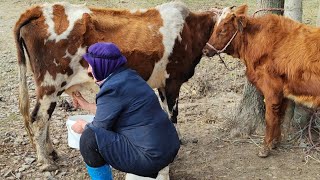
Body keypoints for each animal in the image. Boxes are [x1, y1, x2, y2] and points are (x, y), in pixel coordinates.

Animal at [13, 1, 218, 170]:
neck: (190, 29)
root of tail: (41, 8)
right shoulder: (173, 81)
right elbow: (173, 113)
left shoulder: (162, 83)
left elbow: (165, 112)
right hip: (51, 84)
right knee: (39, 118)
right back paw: (45, 161)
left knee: (44, 119)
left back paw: (52, 153)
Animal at [204, 4, 320, 158]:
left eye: (222, 30)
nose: (205, 50)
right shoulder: (282, 93)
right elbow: (279, 117)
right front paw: (275, 142)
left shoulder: (271, 90)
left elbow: (270, 118)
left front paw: (265, 148)